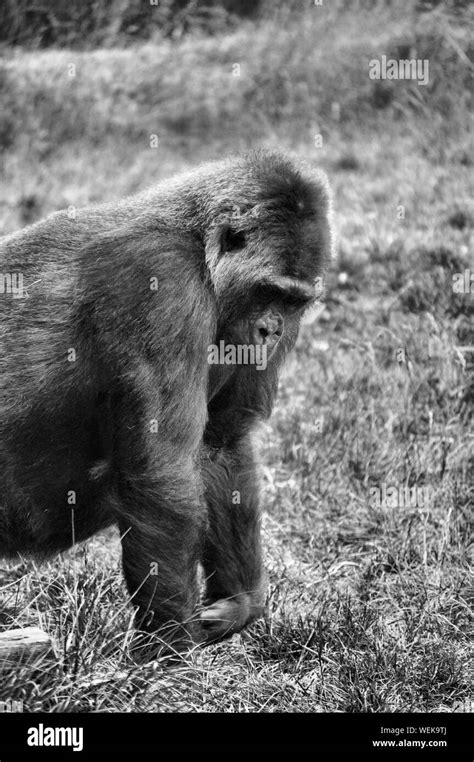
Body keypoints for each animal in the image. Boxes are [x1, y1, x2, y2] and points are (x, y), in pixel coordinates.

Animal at [0, 150, 332, 654]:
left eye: (294, 302)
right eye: (268, 291)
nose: (271, 331)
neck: (198, 244)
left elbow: (220, 444)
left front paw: (239, 602)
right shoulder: (159, 282)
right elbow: (162, 472)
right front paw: (169, 653)